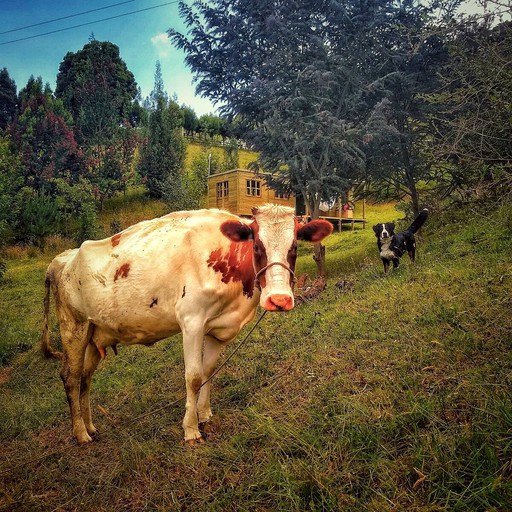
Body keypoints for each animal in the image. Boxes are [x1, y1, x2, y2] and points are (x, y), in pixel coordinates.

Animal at [42, 204, 334, 444]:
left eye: (294, 246)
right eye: (257, 246)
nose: (279, 299)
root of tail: (62, 259)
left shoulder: (219, 330)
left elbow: (208, 373)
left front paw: (204, 415)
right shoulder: (191, 321)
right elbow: (193, 377)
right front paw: (191, 429)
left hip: (94, 334)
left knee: (86, 378)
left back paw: (91, 427)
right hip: (73, 327)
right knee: (71, 377)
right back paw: (80, 433)